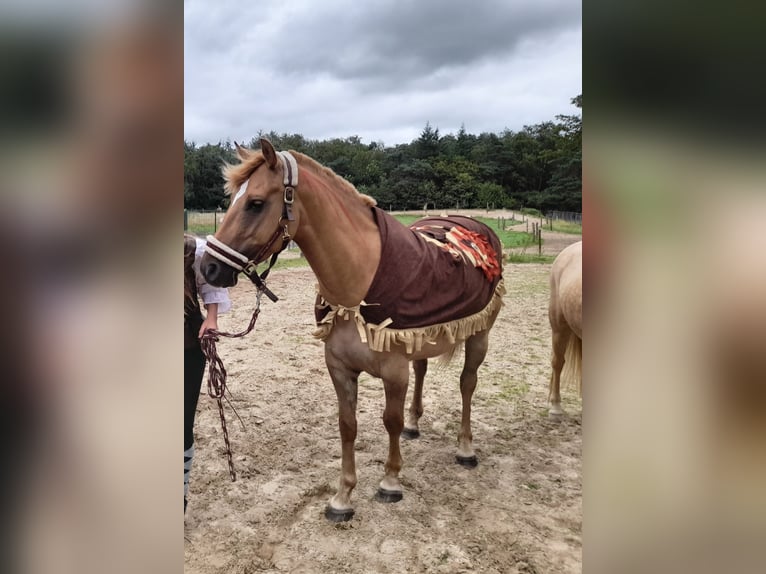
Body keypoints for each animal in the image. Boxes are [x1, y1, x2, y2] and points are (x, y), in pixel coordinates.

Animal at [201, 138, 508, 520]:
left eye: (255, 203)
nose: (208, 268)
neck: (357, 287)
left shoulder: (394, 372)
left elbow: (389, 420)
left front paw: (390, 482)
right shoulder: (340, 368)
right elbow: (347, 426)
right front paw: (343, 496)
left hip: (480, 336)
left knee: (467, 384)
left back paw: (465, 449)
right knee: (423, 371)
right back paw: (415, 425)